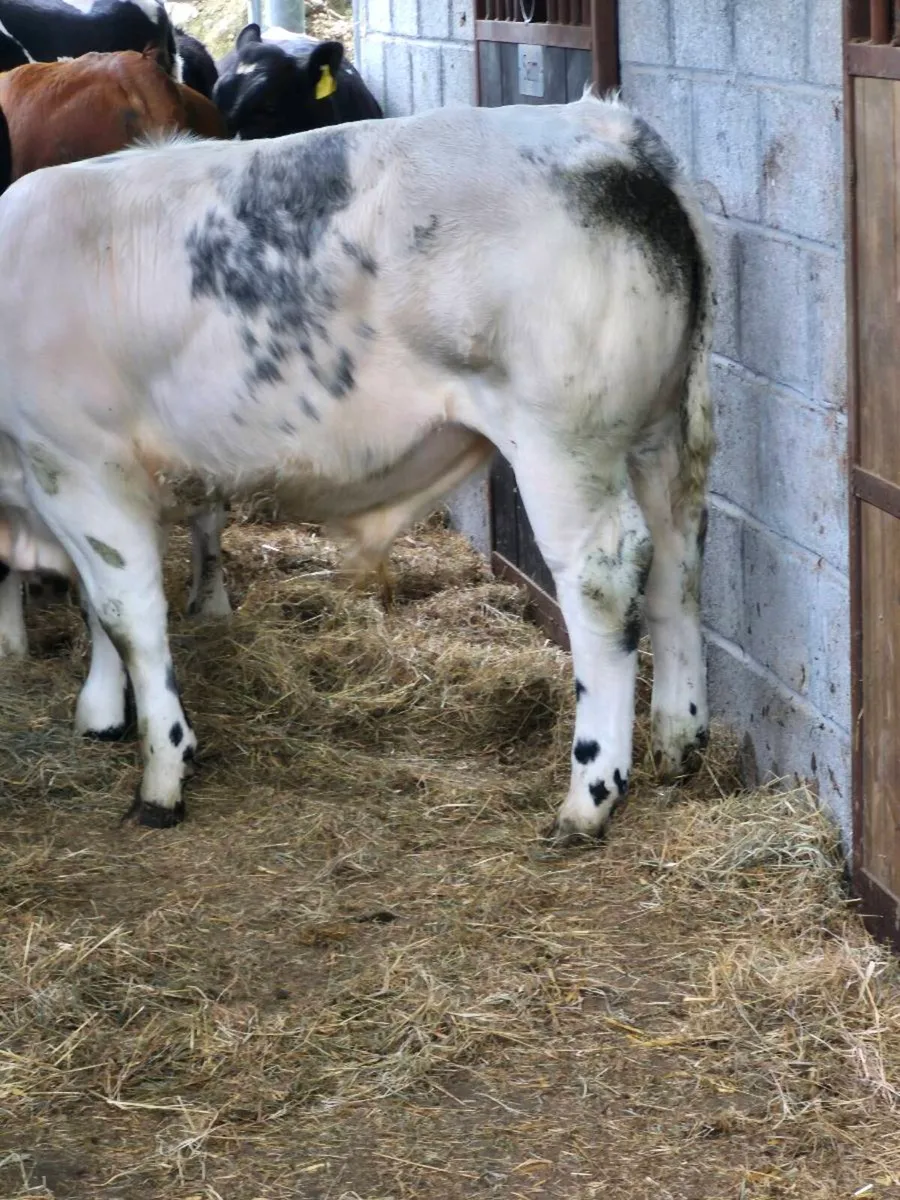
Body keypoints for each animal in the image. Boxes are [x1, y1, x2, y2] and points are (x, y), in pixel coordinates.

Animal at [0, 94, 714, 839]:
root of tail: (604, 128)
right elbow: (96, 605)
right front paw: (103, 712)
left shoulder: (79, 465)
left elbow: (127, 614)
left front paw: (162, 773)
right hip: (661, 435)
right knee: (678, 561)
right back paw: (678, 739)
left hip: (563, 444)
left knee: (605, 578)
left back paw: (590, 794)